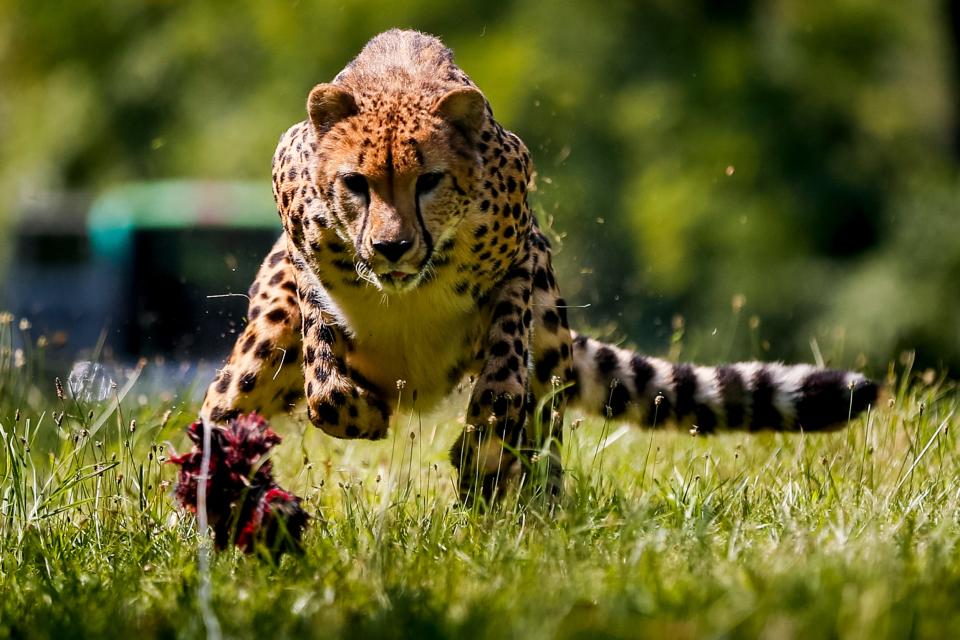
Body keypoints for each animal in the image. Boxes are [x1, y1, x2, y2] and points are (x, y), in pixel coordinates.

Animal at [201, 28, 876, 500]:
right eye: (356, 184)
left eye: (429, 181)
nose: (392, 248)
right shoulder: (302, 247)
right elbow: (324, 370)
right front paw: (361, 410)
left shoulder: (526, 256)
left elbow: (504, 369)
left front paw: (481, 447)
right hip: (256, 359)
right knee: (218, 416)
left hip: (551, 339)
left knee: (543, 424)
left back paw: (531, 505)